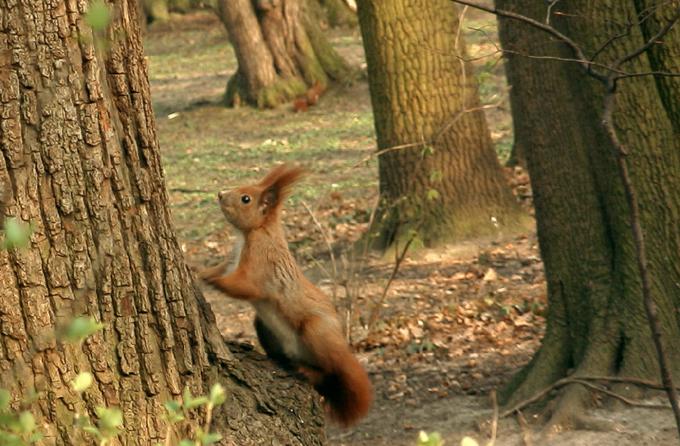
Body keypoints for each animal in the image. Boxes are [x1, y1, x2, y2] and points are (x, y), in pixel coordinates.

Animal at [200, 164, 372, 426]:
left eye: (246, 199)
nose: (220, 193)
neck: (257, 231)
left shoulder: (260, 263)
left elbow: (244, 286)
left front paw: (206, 279)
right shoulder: (230, 263)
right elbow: (220, 270)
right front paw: (199, 271)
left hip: (316, 332)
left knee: (328, 371)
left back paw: (307, 371)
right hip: (264, 326)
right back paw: (281, 359)